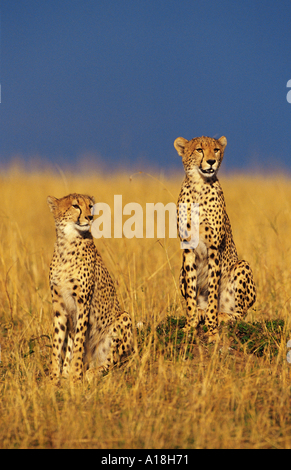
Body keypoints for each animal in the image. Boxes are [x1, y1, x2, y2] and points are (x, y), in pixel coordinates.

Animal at [47, 193, 133, 380]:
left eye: (90, 206)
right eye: (75, 206)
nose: (90, 217)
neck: (67, 243)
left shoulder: (83, 303)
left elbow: (79, 341)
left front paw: (75, 376)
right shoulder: (59, 305)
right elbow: (58, 342)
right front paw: (54, 378)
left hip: (123, 318)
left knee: (112, 360)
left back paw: (92, 372)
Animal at [175, 135, 256, 342]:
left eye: (217, 149)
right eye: (199, 150)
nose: (211, 161)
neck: (199, 185)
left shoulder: (214, 248)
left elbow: (212, 290)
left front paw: (212, 329)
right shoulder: (188, 248)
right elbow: (191, 290)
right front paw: (190, 324)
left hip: (242, 266)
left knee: (240, 314)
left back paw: (223, 315)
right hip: (180, 272)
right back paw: (200, 312)